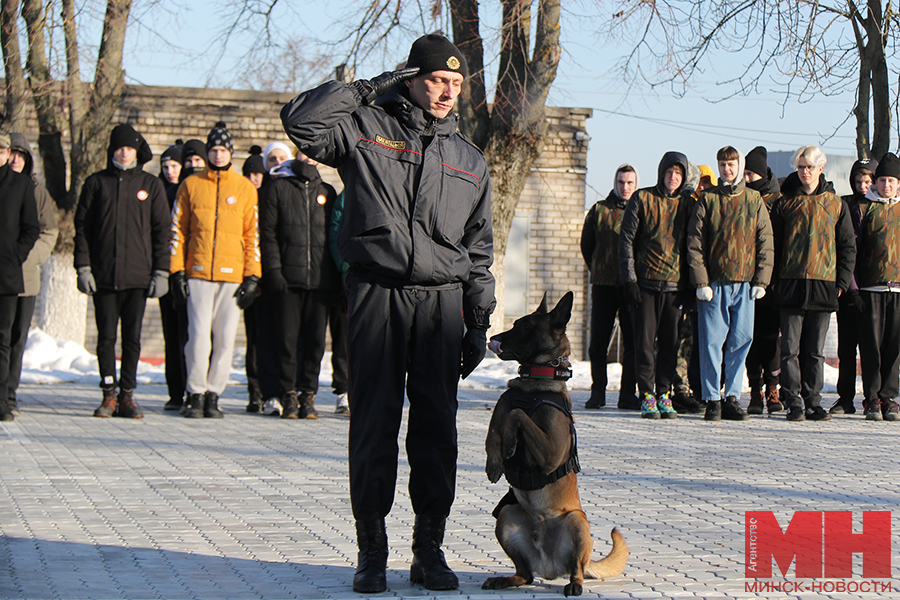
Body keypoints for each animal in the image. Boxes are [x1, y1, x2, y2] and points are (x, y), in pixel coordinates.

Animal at [482, 292, 628, 596]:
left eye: (525, 327)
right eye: (515, 323)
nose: (493, 337)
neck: (534, 384)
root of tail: (548, 566)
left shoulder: (550, 453)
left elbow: (518, 414)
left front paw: (511, 442)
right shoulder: (500, 411)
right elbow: (495, 429)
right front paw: (495, 462)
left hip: (576, 522)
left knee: (577, 570)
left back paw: (574, 584)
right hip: (507, 516)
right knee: (525, 574)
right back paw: (505, 579)